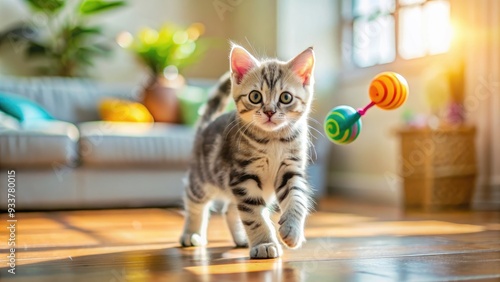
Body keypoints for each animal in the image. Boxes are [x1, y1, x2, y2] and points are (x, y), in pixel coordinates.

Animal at [180, 43, 314, 258]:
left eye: (286, 97)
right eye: (255, 96)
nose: (269, 111)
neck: (273, 140)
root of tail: (206, 126)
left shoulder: (290, 169)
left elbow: (297, 197)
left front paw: (292, 229)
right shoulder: (244, 176)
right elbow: (253, 213)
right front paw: (265, 244)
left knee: (231, 209)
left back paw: (242, 239)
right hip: (202, 179)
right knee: (194, 201)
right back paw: (191, 234)